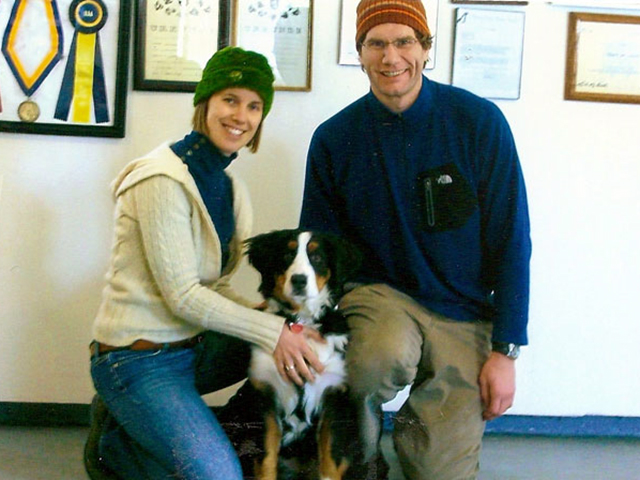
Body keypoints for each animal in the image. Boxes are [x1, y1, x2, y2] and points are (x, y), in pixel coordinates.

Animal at [222, 229, 369, 480]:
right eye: (286, 255)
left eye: (317, 257)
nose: (299, 280)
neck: (301, 321)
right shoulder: (265, 394)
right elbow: (266, 457)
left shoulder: (334, 394)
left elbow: (330, 458)